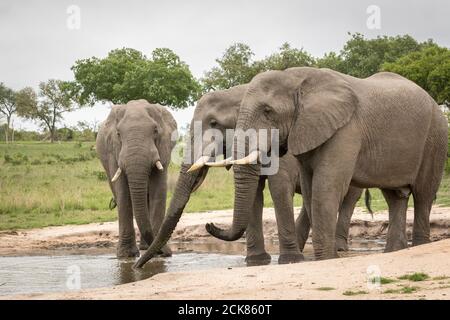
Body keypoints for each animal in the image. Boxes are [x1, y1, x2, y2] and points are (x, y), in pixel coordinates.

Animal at [133, 82, 372, 268]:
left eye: (214, 123)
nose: (137, 267)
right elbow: (254, 192)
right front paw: (257, 261)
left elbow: (278, 187)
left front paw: (289, 260)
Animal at [207, 66, 446, 262]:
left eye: (267, 111)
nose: (210, 225)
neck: (296, 78)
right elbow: (310, 189)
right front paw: (328, 257)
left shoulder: (345, 129)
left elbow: (325, 187)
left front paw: (325, 259)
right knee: (395, 197)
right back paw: (394, 251)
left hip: (435, 137)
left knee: (423, 195)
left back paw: (419, 246)